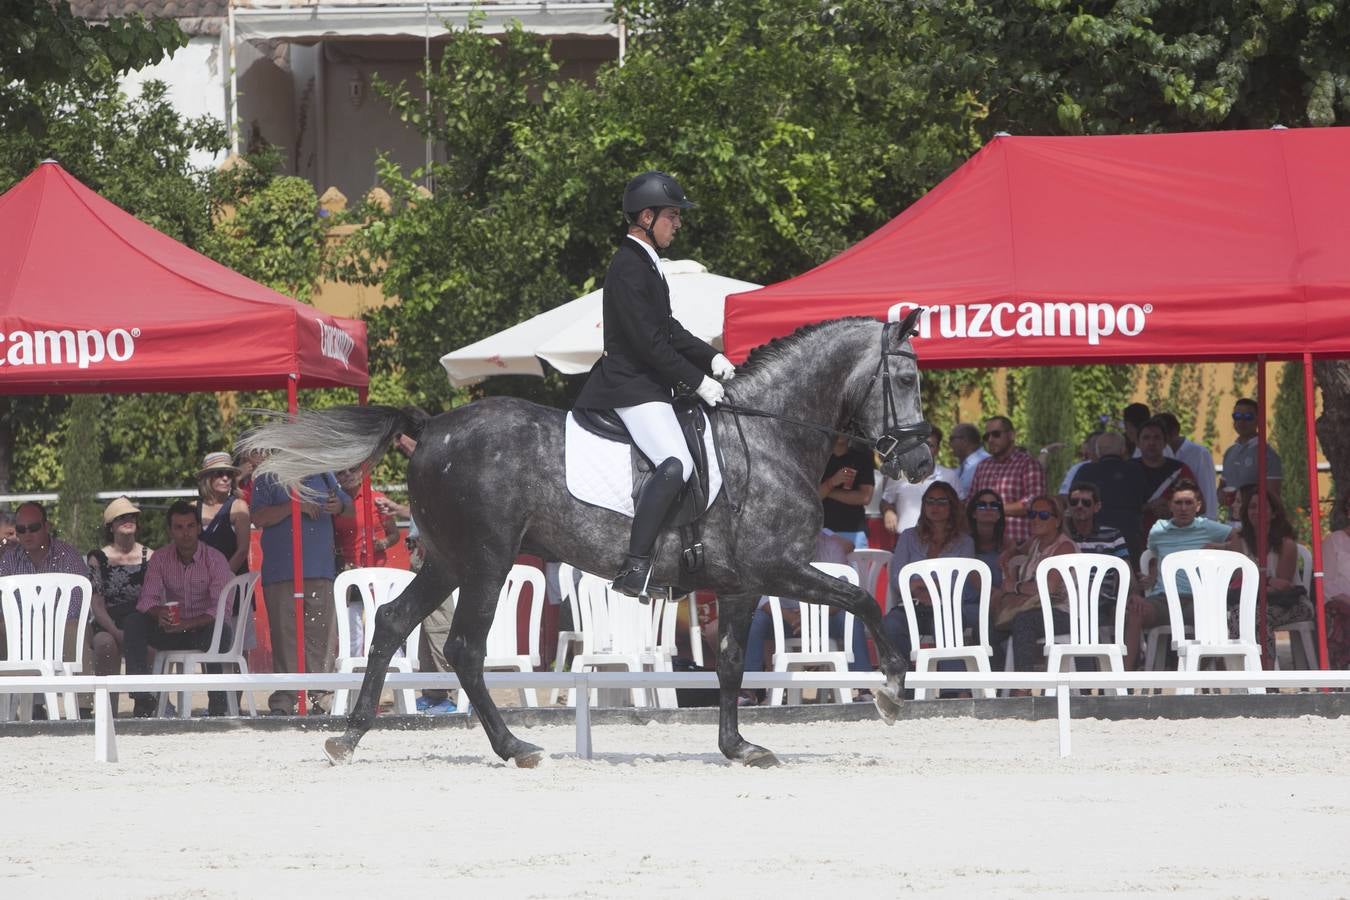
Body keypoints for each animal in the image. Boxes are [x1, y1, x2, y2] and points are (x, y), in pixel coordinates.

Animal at [243, 315, 934, 766]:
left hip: (446, 561)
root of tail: (432, 427)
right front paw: (891, 692)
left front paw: (737, 746)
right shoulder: (778, 568)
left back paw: (348, 736)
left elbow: (732, 663)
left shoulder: (741, 585)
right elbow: (863, 601)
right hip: (487, 562)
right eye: (905, 381)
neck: (767, 438)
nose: (923, 462)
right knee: (464, 647)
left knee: (389, 621)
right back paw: (514, 747)